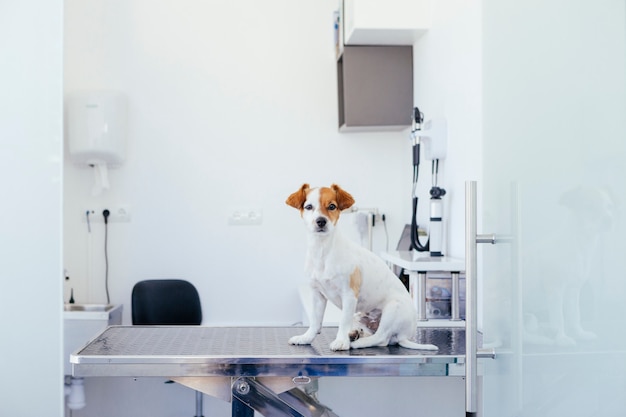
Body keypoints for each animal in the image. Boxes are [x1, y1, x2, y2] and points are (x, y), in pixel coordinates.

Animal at [286, 184, 436, 350]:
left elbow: (343, 322)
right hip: (360, 315)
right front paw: (306, 338)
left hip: (392, 309)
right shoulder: (317, 295)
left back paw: (357, 342)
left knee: (381, 338)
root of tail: (405, 335)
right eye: (309, 207)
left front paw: (341, 342)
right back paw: (355, 334)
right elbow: (315, 322)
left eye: (332, 206)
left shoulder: (349, 295)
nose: (321, 221)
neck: (322, 250)